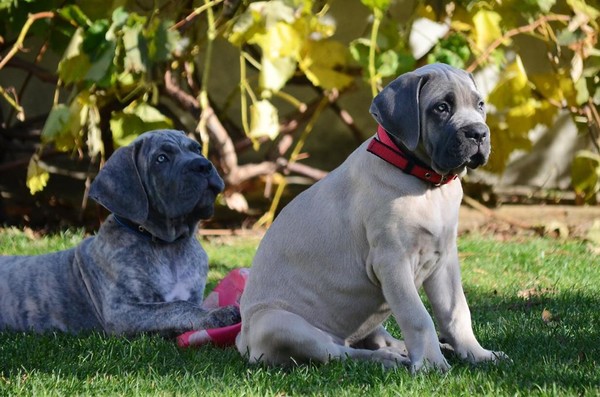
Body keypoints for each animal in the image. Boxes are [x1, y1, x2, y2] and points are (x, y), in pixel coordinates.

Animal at [0, 129, 239, 334]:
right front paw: (216, 315)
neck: (170, 247)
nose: (203, 165)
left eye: (197, 149)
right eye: (161, 159)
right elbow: (175, 306)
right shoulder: (122, 312)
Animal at [236, 64, 506, 372]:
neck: (425, 184)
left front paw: (477, 353)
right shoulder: (391, 261)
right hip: (277, 322)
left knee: (374, 340)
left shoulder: (444, 260)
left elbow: (457, 312)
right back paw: (388, 360)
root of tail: (242, 341)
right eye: (441, 108)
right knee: (338, 352)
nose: (478, 133)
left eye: (480, 105)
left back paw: (409, 351)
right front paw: (430, 364)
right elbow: (418, 317)